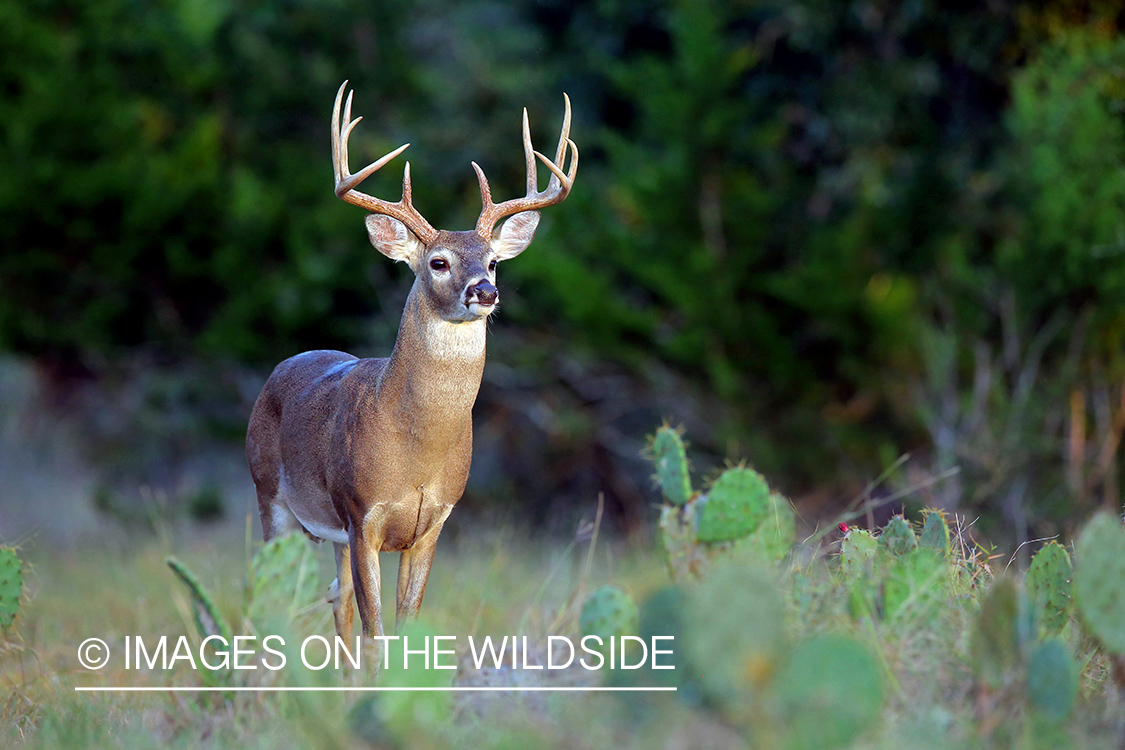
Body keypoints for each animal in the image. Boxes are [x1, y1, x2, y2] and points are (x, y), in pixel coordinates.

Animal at [247, 80, 580, 647]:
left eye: (493, 261)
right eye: (438, 262)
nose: (485, 291)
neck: (415, 446)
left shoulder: (434, 522)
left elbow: (405, 625)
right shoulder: (362, 515)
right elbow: (377, 631)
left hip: (329, 535)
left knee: (335, 601)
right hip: (269, 495)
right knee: (262, 596)